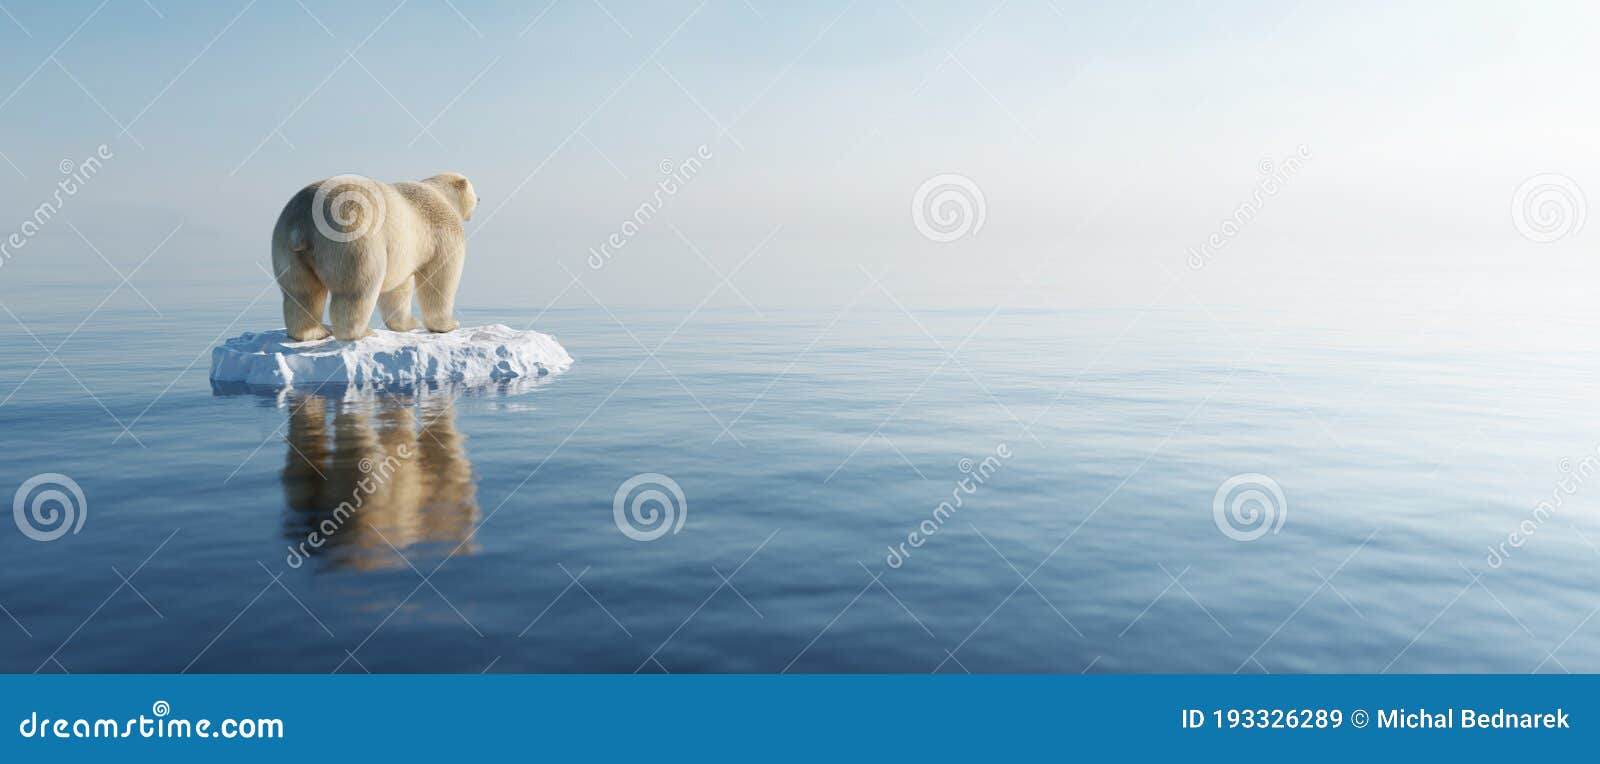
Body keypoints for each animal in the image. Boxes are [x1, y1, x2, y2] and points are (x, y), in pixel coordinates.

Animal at [268, 174, 476, 342]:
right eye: (474, 191)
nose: (480, 198)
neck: (440, 194)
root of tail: (302, 223)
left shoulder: (403, 250)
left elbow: (398, 288)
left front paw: (409, 323)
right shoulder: (442, 229)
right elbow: (441, 278)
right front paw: (449, 325)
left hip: (285, 247)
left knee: (301, 292)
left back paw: (313, 333)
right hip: (353, 238)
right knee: (358, 288)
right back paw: (362, 332)